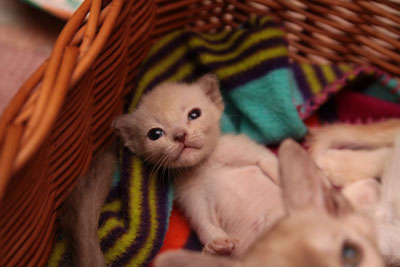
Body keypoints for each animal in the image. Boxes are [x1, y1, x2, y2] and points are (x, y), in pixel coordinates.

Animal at [112, 74, 284, 258]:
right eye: (155, 134)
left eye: (194, 114)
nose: (180, 135)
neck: (207, 164)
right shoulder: (193, 198)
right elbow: (204, 226)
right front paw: (218, 246)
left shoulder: (247, 150)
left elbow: (275, 166)